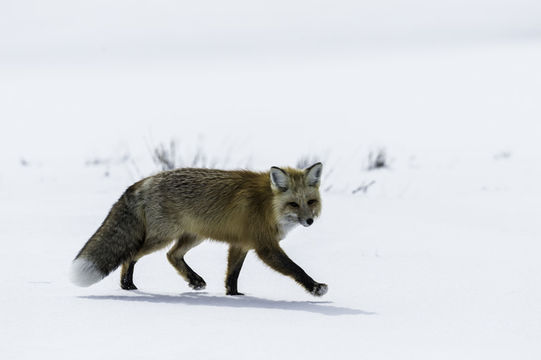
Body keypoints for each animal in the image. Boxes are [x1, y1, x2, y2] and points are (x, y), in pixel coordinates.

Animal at [70, 162, 324, 296]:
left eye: (310, 202)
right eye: (293, 204)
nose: (309, 221)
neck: (268, 205)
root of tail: (146, 180)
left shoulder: (241, 243)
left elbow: (232, 274)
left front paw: (234, 295)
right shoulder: (264, 245)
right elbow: (295, 268)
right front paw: (315, 287)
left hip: (193, 236)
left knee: (172, 255)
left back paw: (194, 280)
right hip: (163, 237)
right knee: (132, 254)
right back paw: (127, 285)